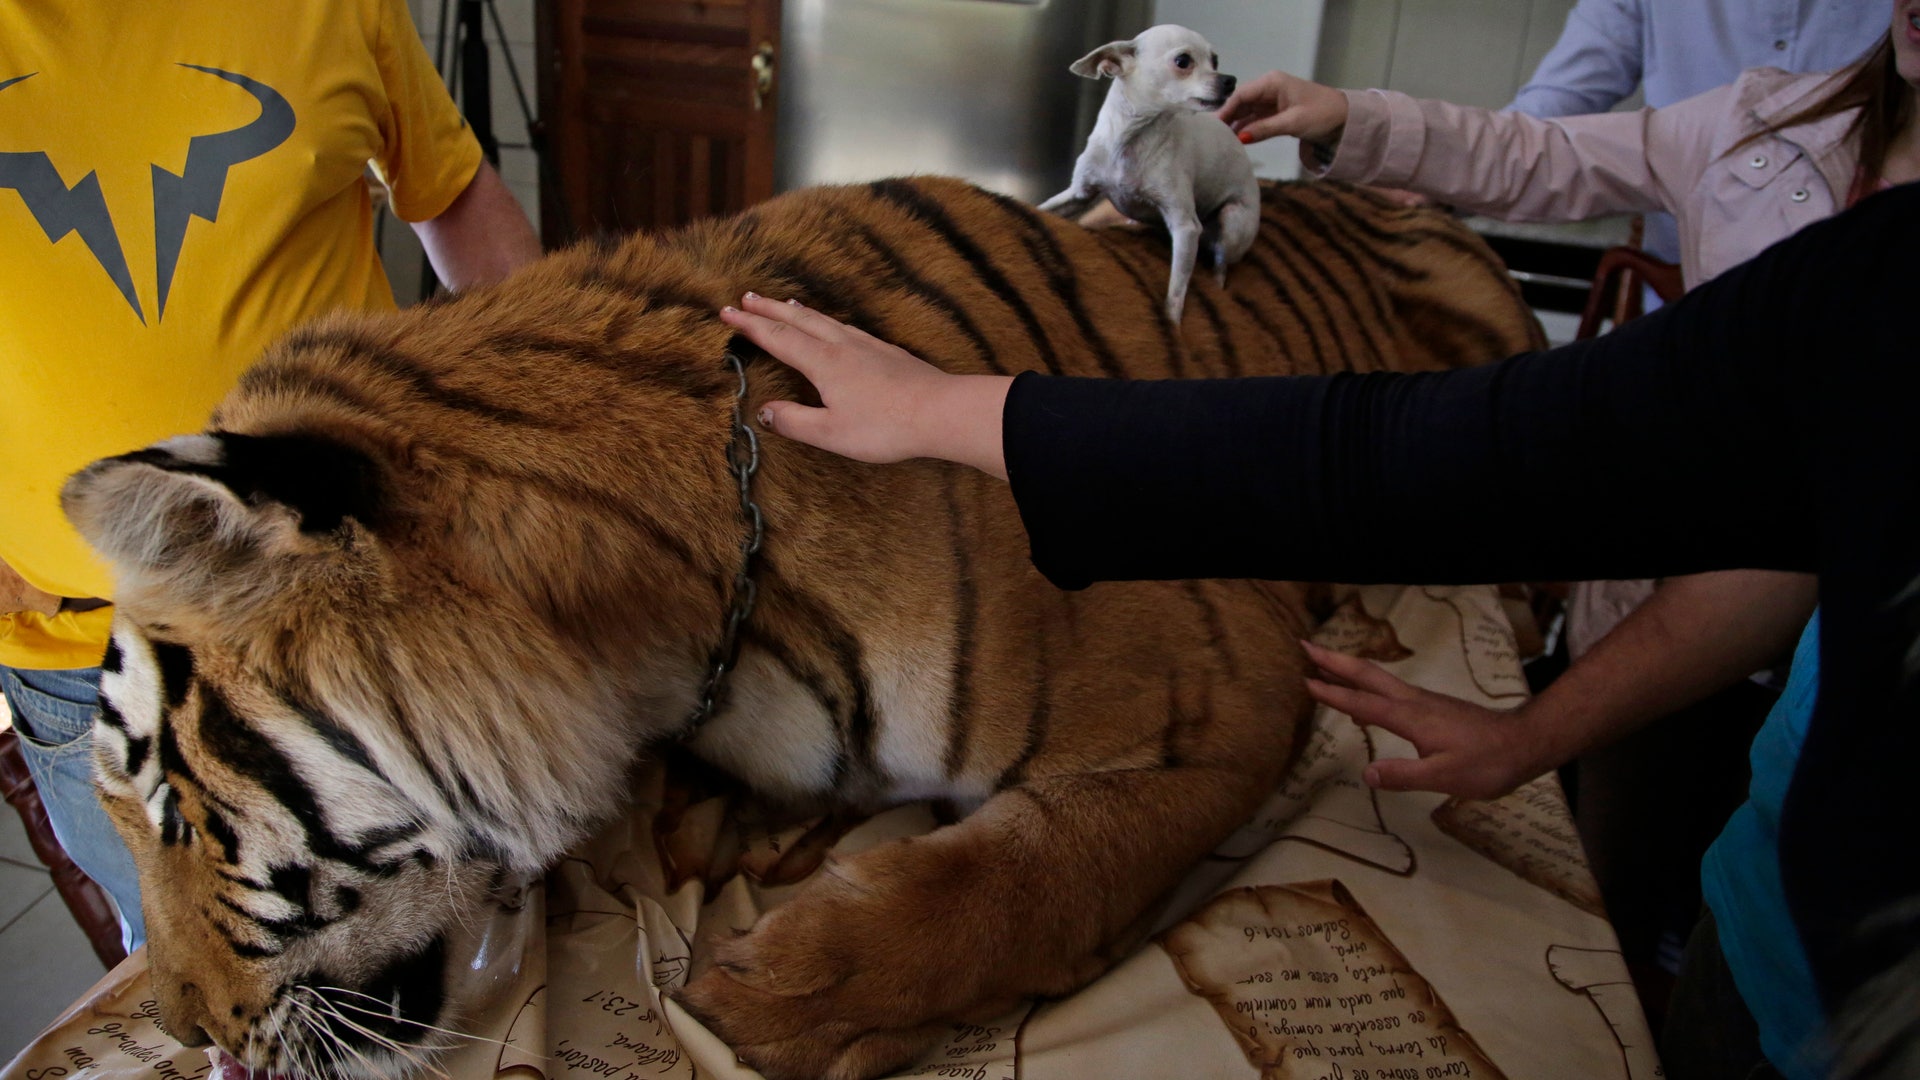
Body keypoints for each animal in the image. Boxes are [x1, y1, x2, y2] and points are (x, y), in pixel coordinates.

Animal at [60, 176, 1543, 1076]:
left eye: (175, 813)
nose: (183, 1034)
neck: (653, 645)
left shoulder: (1217, 690)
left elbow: (1018, 880)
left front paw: (766, 1001)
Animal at [1036, 24, 1259, 319]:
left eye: (1215, 61)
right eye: (1183, 61)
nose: (1229, 81)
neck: (1133, 139)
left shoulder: (1186, 228)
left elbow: (1175, 291)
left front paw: (1172, 324)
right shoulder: (1078, 195)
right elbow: (1046, 208)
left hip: (1232, 221)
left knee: (1221, 266)